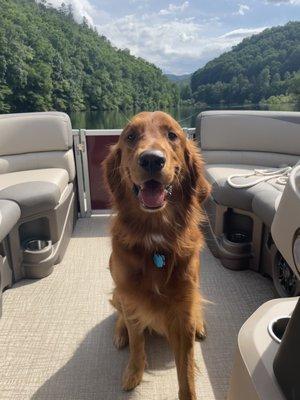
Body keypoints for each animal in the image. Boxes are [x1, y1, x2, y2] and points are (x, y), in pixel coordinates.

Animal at [103, 110, 211, 400]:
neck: (154, 239)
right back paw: (119, 334)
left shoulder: (183, 309)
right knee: (120, 318)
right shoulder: (131, 297)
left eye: (172, 135)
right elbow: (137, 343)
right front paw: (134, 372)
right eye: (130, 136)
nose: (151, 159)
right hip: (118, 292)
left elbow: (186, 373)